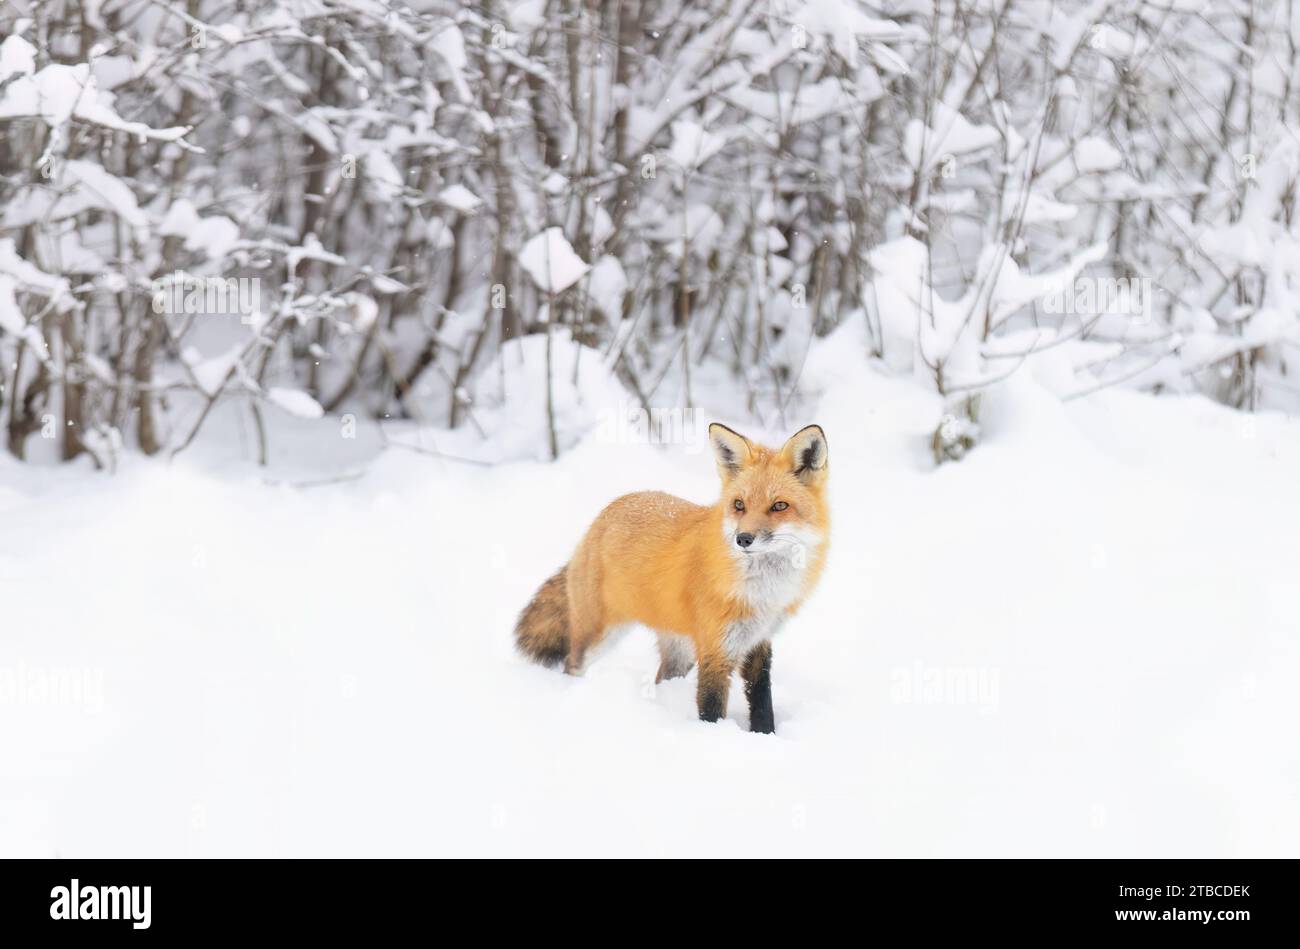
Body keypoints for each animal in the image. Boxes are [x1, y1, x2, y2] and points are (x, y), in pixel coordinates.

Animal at [512, 423, 826, 733]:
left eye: (779, 506)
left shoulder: (758, 642)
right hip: (599, 633)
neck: (763, 592)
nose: (743, 539)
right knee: (572, 664)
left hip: (680, 652)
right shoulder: (716, 649)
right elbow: (711, 708)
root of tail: (602, 516)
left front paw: (766, 735)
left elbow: (762, 702)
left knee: (661, 678)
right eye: (739, 504)